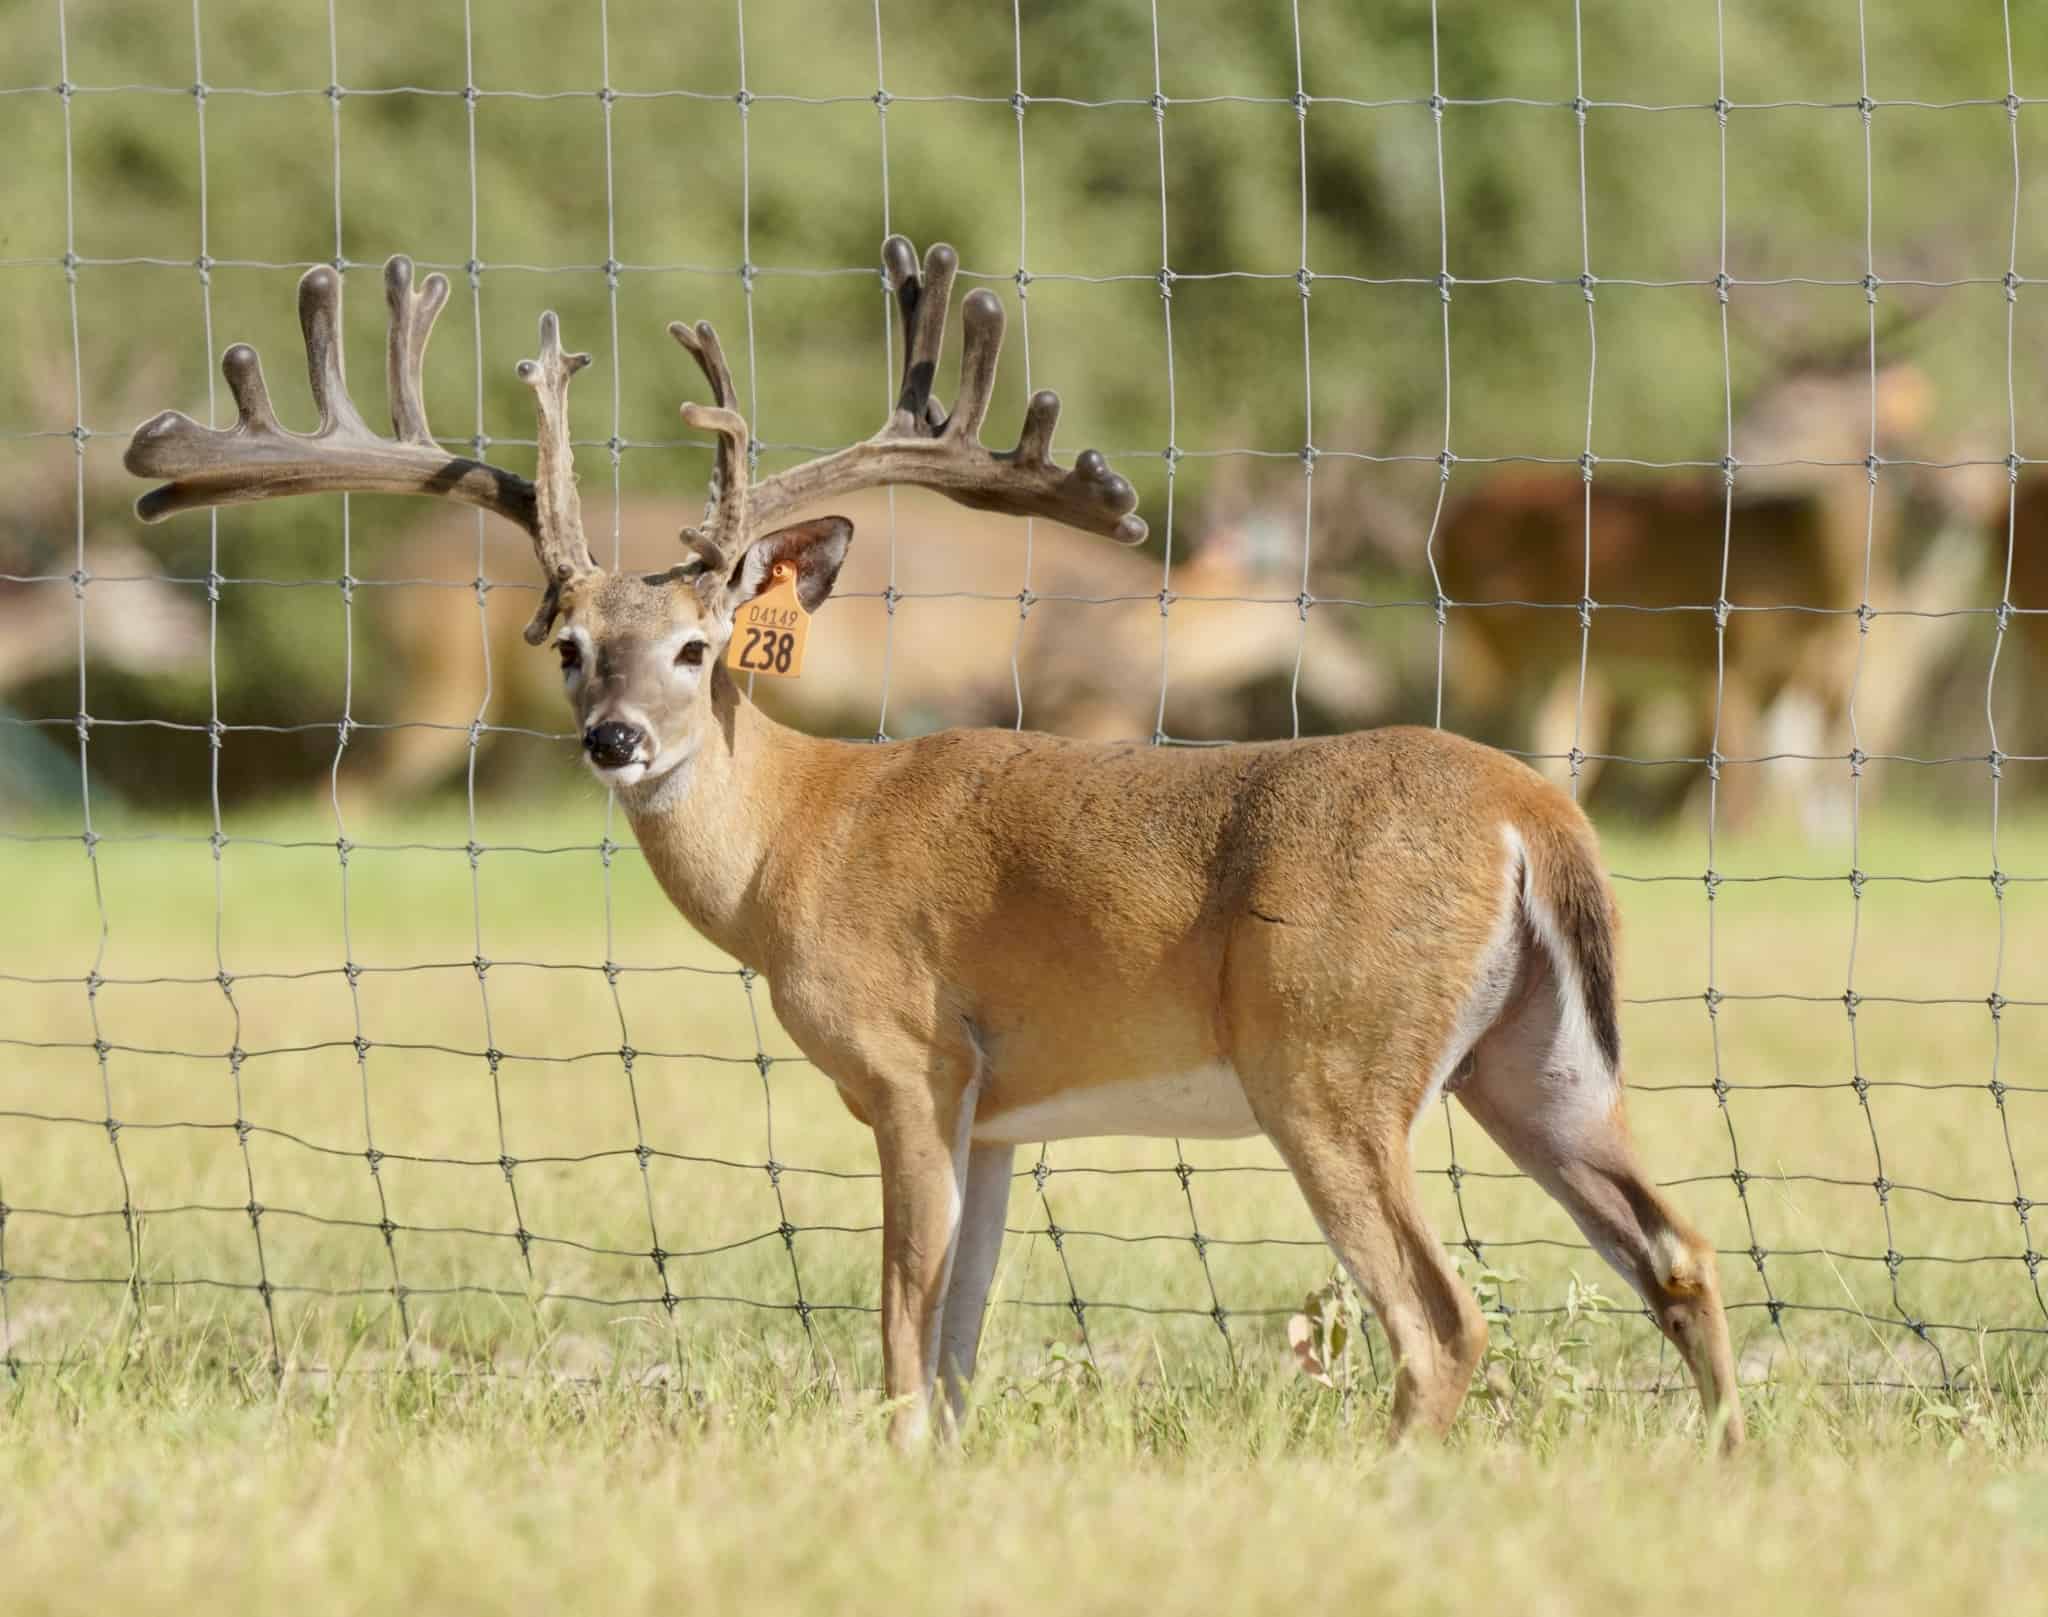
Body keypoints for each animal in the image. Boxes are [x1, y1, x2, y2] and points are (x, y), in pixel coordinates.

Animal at [124, 237, 1744, 1451]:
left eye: (701, 646)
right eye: (572, 646)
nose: (616, 741)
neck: (794, 843)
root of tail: (1534, 815)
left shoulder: (911, 1060)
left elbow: (905, 1335)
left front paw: (891, 1466)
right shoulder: (1003, 1107)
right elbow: (961, 1344)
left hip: (1329, 1056)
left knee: (1442, 1317)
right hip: (1532, 1063)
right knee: (1675, 1249)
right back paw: (1721, 1462)